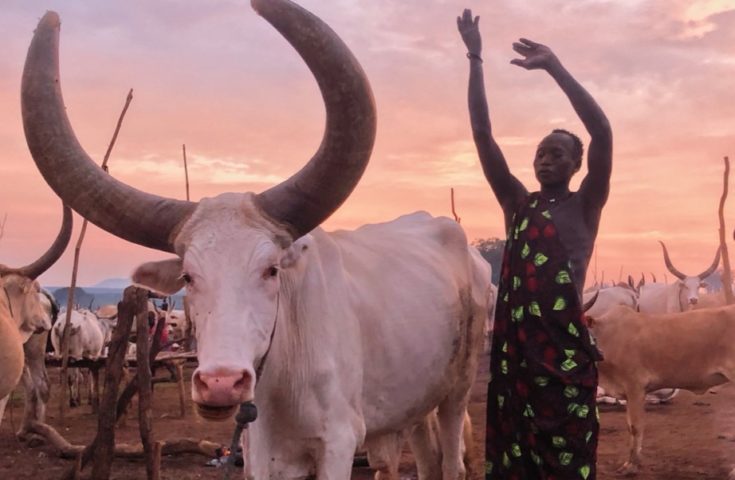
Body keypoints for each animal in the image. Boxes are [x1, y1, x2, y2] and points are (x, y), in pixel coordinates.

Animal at [23, 1, 492, 478]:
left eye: (270, 270)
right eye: (188, 277)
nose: (221, 383)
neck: (284, 374)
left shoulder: (338, 443)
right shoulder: (259, 449)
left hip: (456, 391)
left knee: (451, 459)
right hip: (412, 407)